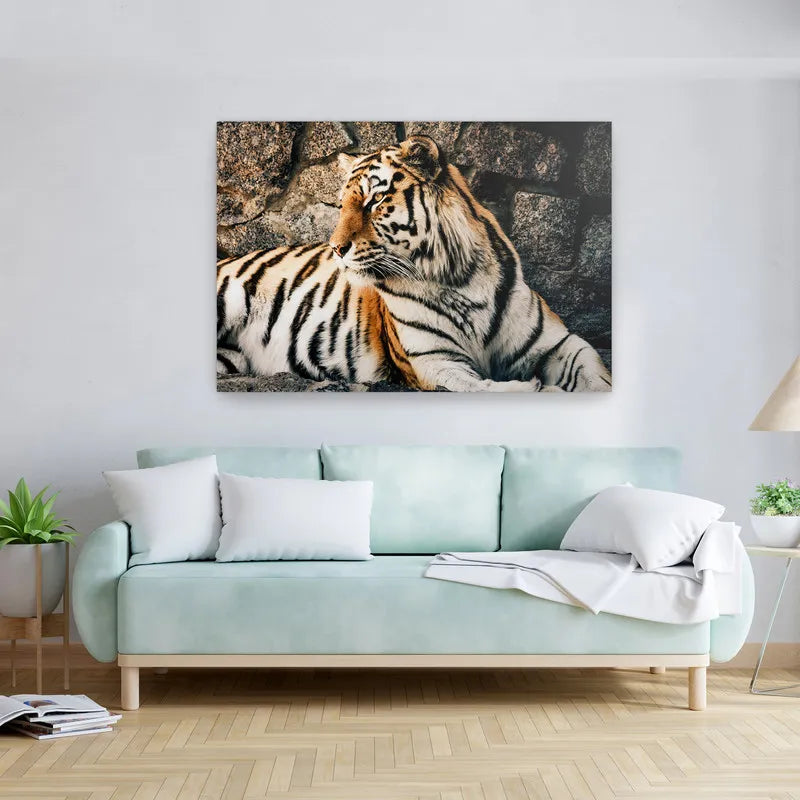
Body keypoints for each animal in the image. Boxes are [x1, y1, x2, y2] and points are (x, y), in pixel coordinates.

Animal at [217, 135, 611, 392]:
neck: (460, 279)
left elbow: (597, 374)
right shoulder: (434, 361)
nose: (336, 248)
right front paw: (536, 389)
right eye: (341, 205)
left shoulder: (560, 344)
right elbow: (484, 389)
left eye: (375, 201)